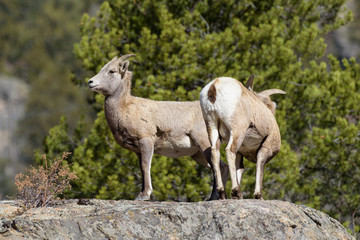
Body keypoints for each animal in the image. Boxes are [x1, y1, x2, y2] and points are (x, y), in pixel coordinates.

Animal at [87, 54, 228, 201]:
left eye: (112, 71)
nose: (90, 82)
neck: (125, 108)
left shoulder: (146, 141)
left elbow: (146, 166)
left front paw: (145, 195)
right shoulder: (138, 150)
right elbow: (141, 168)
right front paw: (141, 194)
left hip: (204, 144)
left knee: (218, 166)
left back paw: (214, 197)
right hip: (197, 154)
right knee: (221, 167)